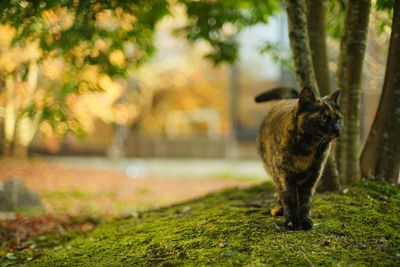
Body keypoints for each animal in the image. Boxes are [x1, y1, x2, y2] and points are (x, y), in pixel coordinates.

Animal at [255, 87, 342, 230]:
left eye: (339, 119)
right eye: (324, 118)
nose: (338, 130)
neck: (308, 148)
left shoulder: (313, 177)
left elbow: (305, 201)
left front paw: (305, 220)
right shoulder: (284, 175)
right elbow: (289, 198)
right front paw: (292, 222)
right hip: (273, 171)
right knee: (279, 192)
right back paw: (279, 209)